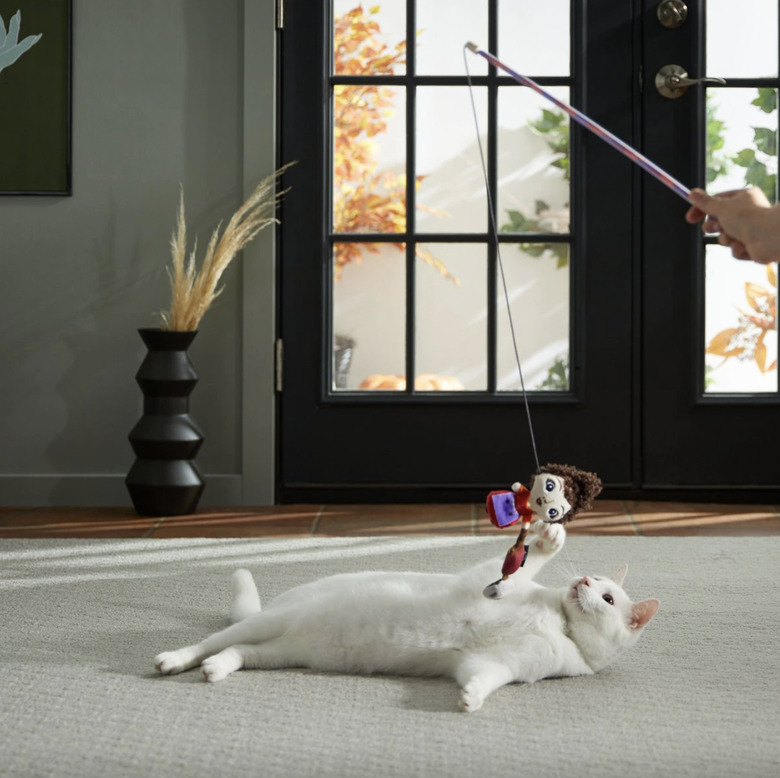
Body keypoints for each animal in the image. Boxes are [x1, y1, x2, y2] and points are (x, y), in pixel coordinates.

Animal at [155, 520, 660, 708]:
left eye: (608, 598)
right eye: (597, 579)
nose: (585, 582)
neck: (561, 624)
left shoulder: (498, 665)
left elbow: (484, 678)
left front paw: (471, 699)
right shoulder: (486, 582)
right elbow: (526, 559)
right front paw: (551, 537)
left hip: (280, 652)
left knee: (238, 651)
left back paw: (215, 670)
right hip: (267, 622)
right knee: (209, 641)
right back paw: (175, 660)